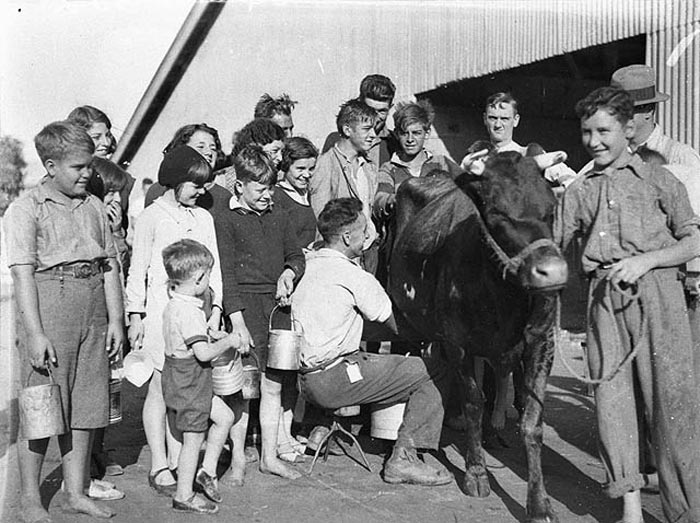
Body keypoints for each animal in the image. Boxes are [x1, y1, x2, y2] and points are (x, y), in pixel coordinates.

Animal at [388, 148, 568, 523]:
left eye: (550, 208)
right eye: (497, 212)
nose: (553, 272)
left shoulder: (542, 343)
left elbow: (533, 422)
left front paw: (539, 504)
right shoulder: (458, 344)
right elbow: (474, 402)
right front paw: (476, 472)